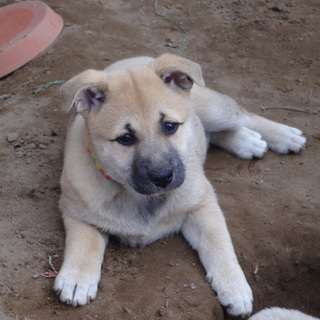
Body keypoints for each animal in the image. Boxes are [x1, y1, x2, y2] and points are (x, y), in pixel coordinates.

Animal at [53, 53, 306, 316]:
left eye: (170, 126)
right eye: (125, 138)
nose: (163, 177)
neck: (139, 196)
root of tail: (140, 57)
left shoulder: (202, 205)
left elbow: (219, 244)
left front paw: (234, 286)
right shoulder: (77, 213)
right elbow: (85, 242)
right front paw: (77, 278)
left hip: (214, 109)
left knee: (244, 116)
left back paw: (282, 136)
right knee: (212, 133)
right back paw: (246, 141)